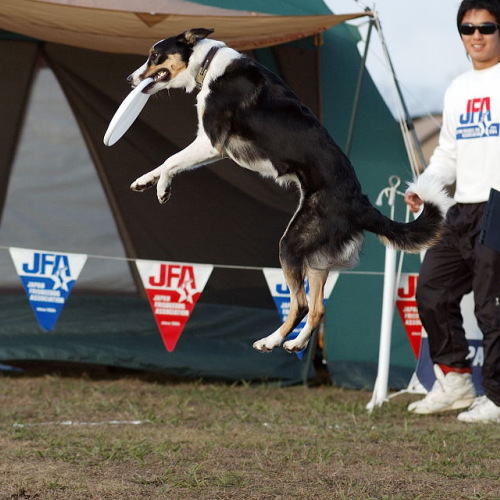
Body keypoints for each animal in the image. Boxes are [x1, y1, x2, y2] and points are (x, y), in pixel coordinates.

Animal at [127, 28, 452, 356]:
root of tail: (359, 202)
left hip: (291, 244)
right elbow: (166, 163)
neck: (208, 63)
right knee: (318, 308)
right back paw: (294, 342)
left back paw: (270, 341)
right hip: (316, 257)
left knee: (301, 304)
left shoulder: (211, 142)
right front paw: (144, 181)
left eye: (154, 56)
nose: (130, 79)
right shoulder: (213, 149)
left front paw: (163, 188)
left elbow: (171, 160)